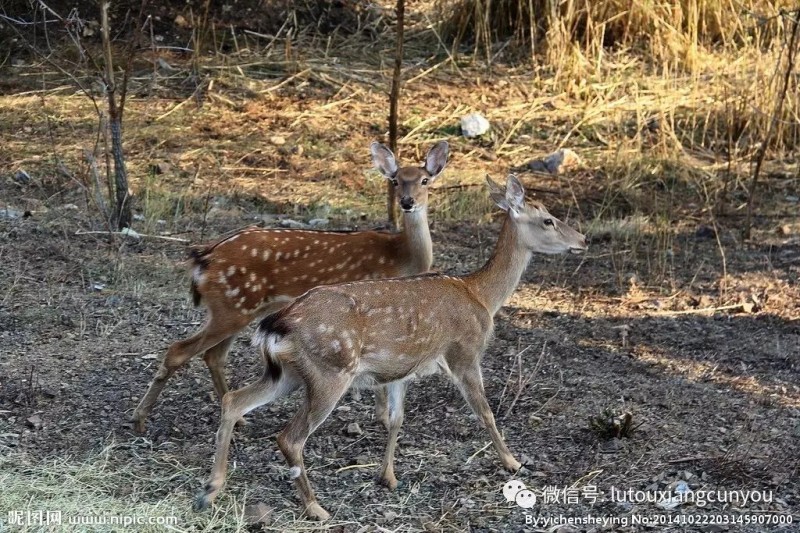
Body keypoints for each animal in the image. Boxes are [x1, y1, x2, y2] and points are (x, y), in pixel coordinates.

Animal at [134, 140, 454, 432]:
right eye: (395, 180)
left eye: (425, 180)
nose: (407, 202)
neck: (402, 256)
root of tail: (204, 257)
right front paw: (383, 418)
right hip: (231, 307)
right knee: (180, 350)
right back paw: (140, 420)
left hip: (236, 308)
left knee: (213, 355)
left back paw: (239, 418)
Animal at [195, 174, 588, 520]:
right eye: (548, 220)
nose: (583, 239)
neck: (480, 295)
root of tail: (278, 324)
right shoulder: (464, 351)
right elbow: (485, 412)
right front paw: (513, 461)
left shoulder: (403, 367)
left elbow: (396, 419)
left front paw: (388, 477)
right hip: (330, 370)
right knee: (290, 437)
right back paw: (315, 508)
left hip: (286, 372)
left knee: (234, 401)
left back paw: (211, 489)